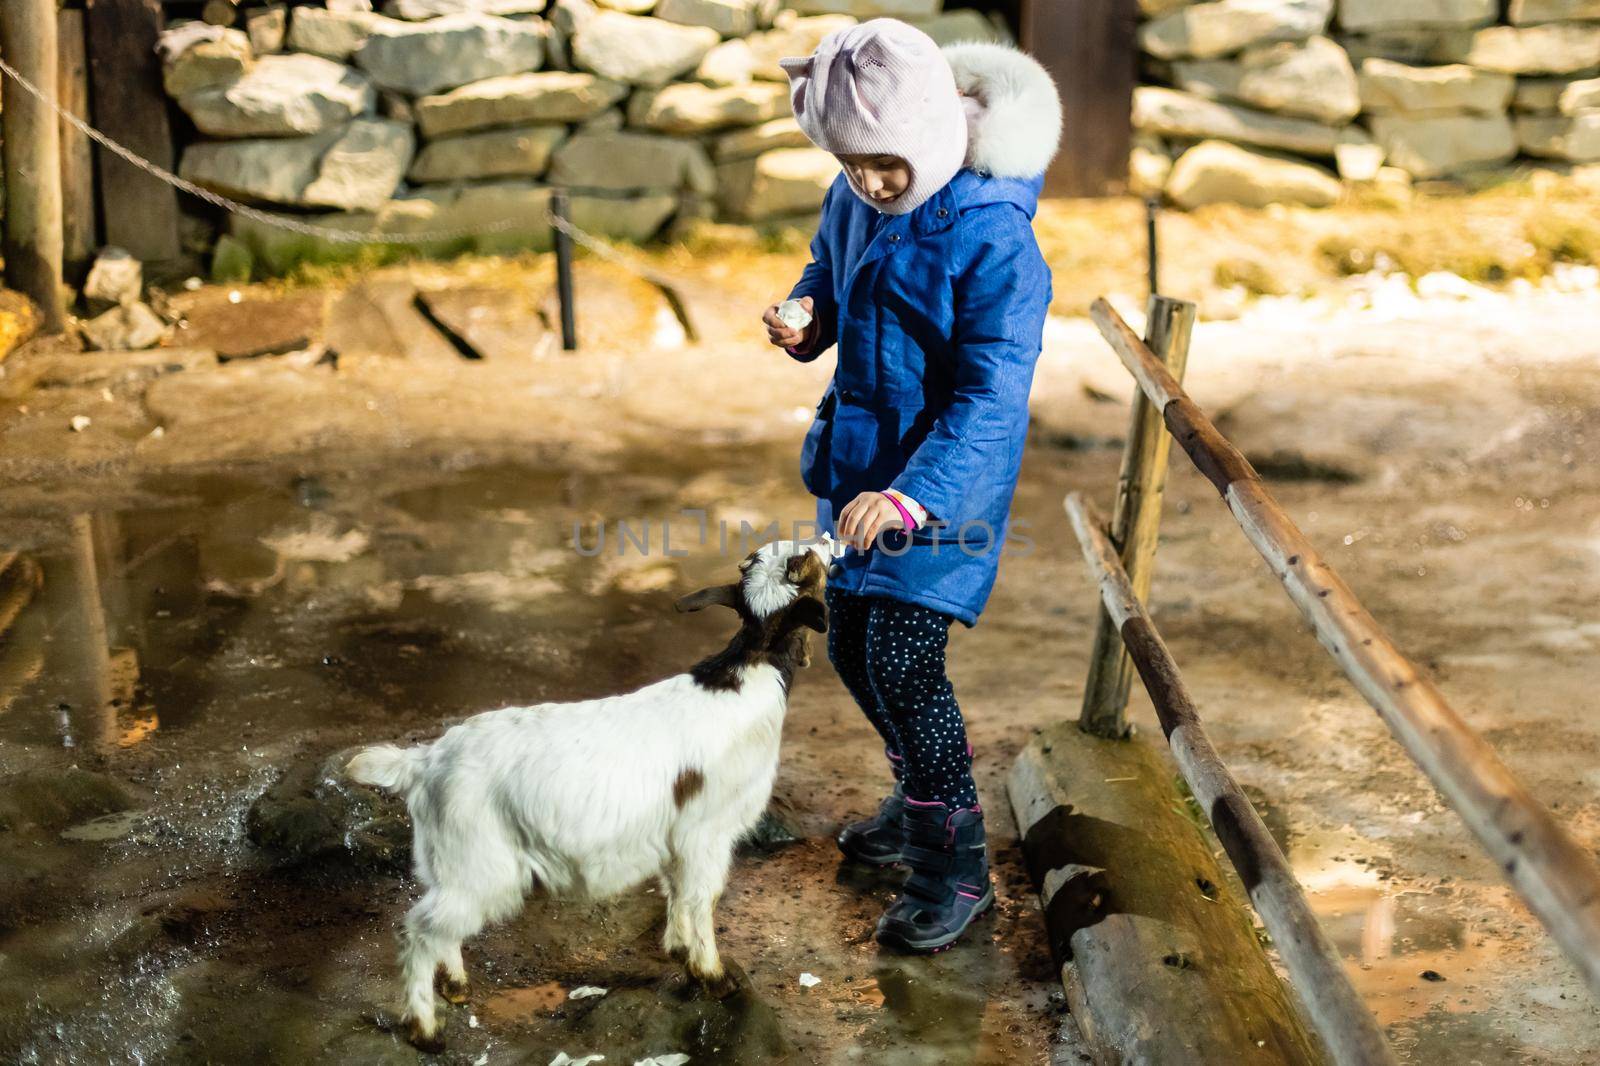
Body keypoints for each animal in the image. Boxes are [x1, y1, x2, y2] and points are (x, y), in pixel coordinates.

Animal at [345, 541, 832, 1043]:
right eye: (805, 564)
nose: (828, 542)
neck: (747, 673)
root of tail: (424, 762)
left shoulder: (678, 835)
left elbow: (677, 891)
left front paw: (679, 951)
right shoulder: (707, 832)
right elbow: (703, 898)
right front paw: (713, 977)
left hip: (448, 863)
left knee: (439, 924)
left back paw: (456, 986)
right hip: (478, 861)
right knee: (421, 931)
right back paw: (425, 1030)